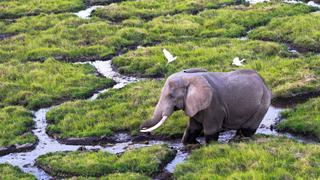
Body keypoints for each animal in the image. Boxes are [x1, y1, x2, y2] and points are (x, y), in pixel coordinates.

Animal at [139, 68, 272, 144]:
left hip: (263, 104)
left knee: (247, 129)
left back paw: (237, 141)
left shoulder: (214, 105)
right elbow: (193, 128)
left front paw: (210, 147)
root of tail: (263, 82)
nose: (144, 132)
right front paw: (188, 144)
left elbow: (211, 130)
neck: (189, 79)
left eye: (171, 96)